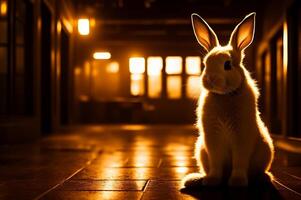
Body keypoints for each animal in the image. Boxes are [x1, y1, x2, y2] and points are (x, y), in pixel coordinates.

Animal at [182, 12, 274, 188]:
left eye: (227, 65)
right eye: (205, 64)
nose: (210, 79)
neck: (224, 96)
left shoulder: (242, 137)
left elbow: (239, 162)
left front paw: (237, 182)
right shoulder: (212, 140)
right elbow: (216, 163)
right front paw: (212, 181)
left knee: (257, 172)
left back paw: (264, 178)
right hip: (201, 149)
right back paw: (197, 179)